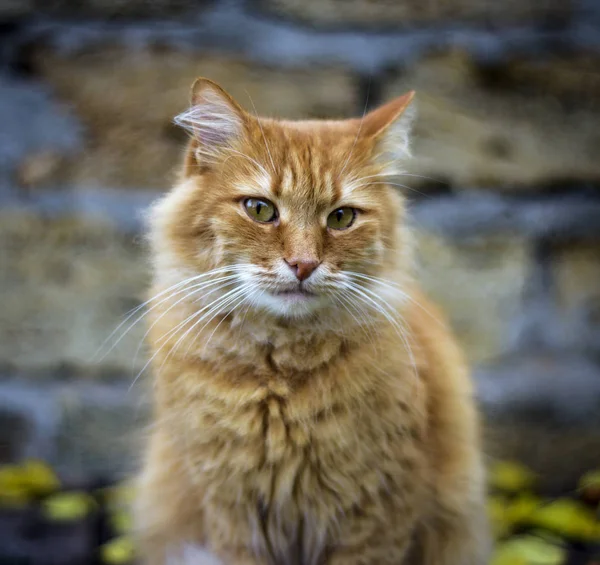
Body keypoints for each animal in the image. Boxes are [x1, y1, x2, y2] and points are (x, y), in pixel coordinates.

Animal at [136, 76, 492, 564]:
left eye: (341, 217)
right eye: (260, 209)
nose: (303, 265)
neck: (280, 376)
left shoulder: (376, 513)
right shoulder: (233, 512)